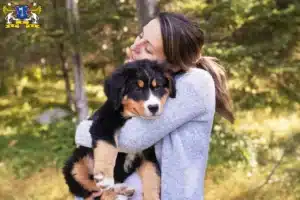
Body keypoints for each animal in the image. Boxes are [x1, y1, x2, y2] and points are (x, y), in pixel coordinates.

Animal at [62, 59, 177, 200]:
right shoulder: (102, 124)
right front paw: (105, 176)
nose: (154, 107)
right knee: (93, 190)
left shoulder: (147, 153)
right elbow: (107, 147)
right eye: (137, 88)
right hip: (74, 164)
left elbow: (152, 176)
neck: (130, 116)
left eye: (158, 87)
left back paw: (122, 189)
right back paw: (118, 189)